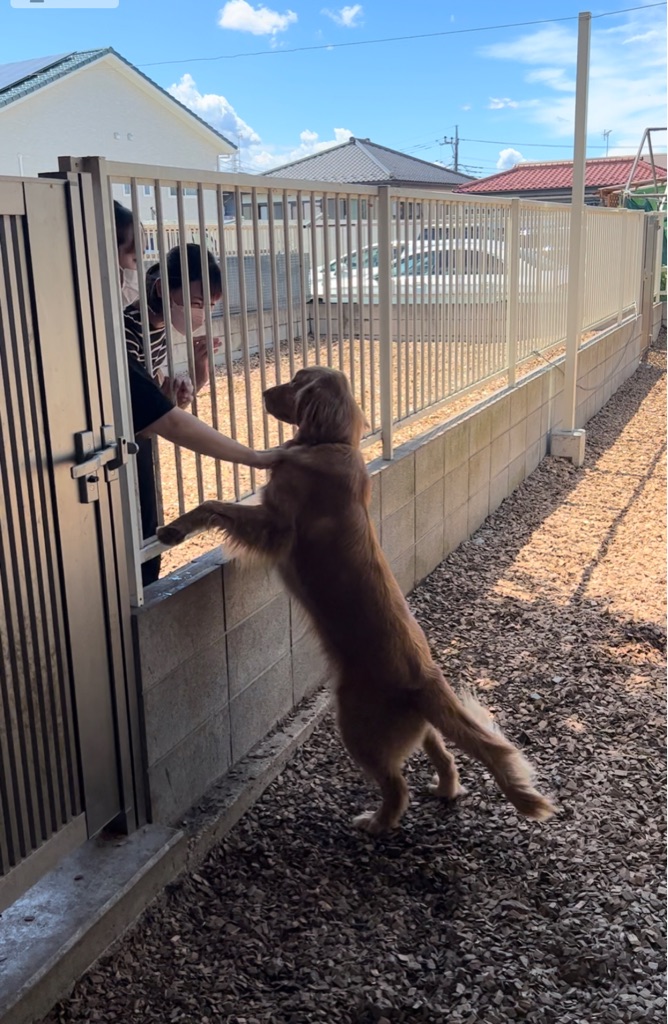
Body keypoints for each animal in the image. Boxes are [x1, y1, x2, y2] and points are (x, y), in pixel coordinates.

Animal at [158, 367, 556, 834]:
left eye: (297, 381)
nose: (264, 391)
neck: (333, 444)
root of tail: (426, 679)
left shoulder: (275, 524)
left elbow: (214, 504)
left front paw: (174, 530)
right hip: (417, 728)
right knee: (444, 755)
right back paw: (445, 790)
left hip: (355, 724)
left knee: (396, 785)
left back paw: (376, 823)